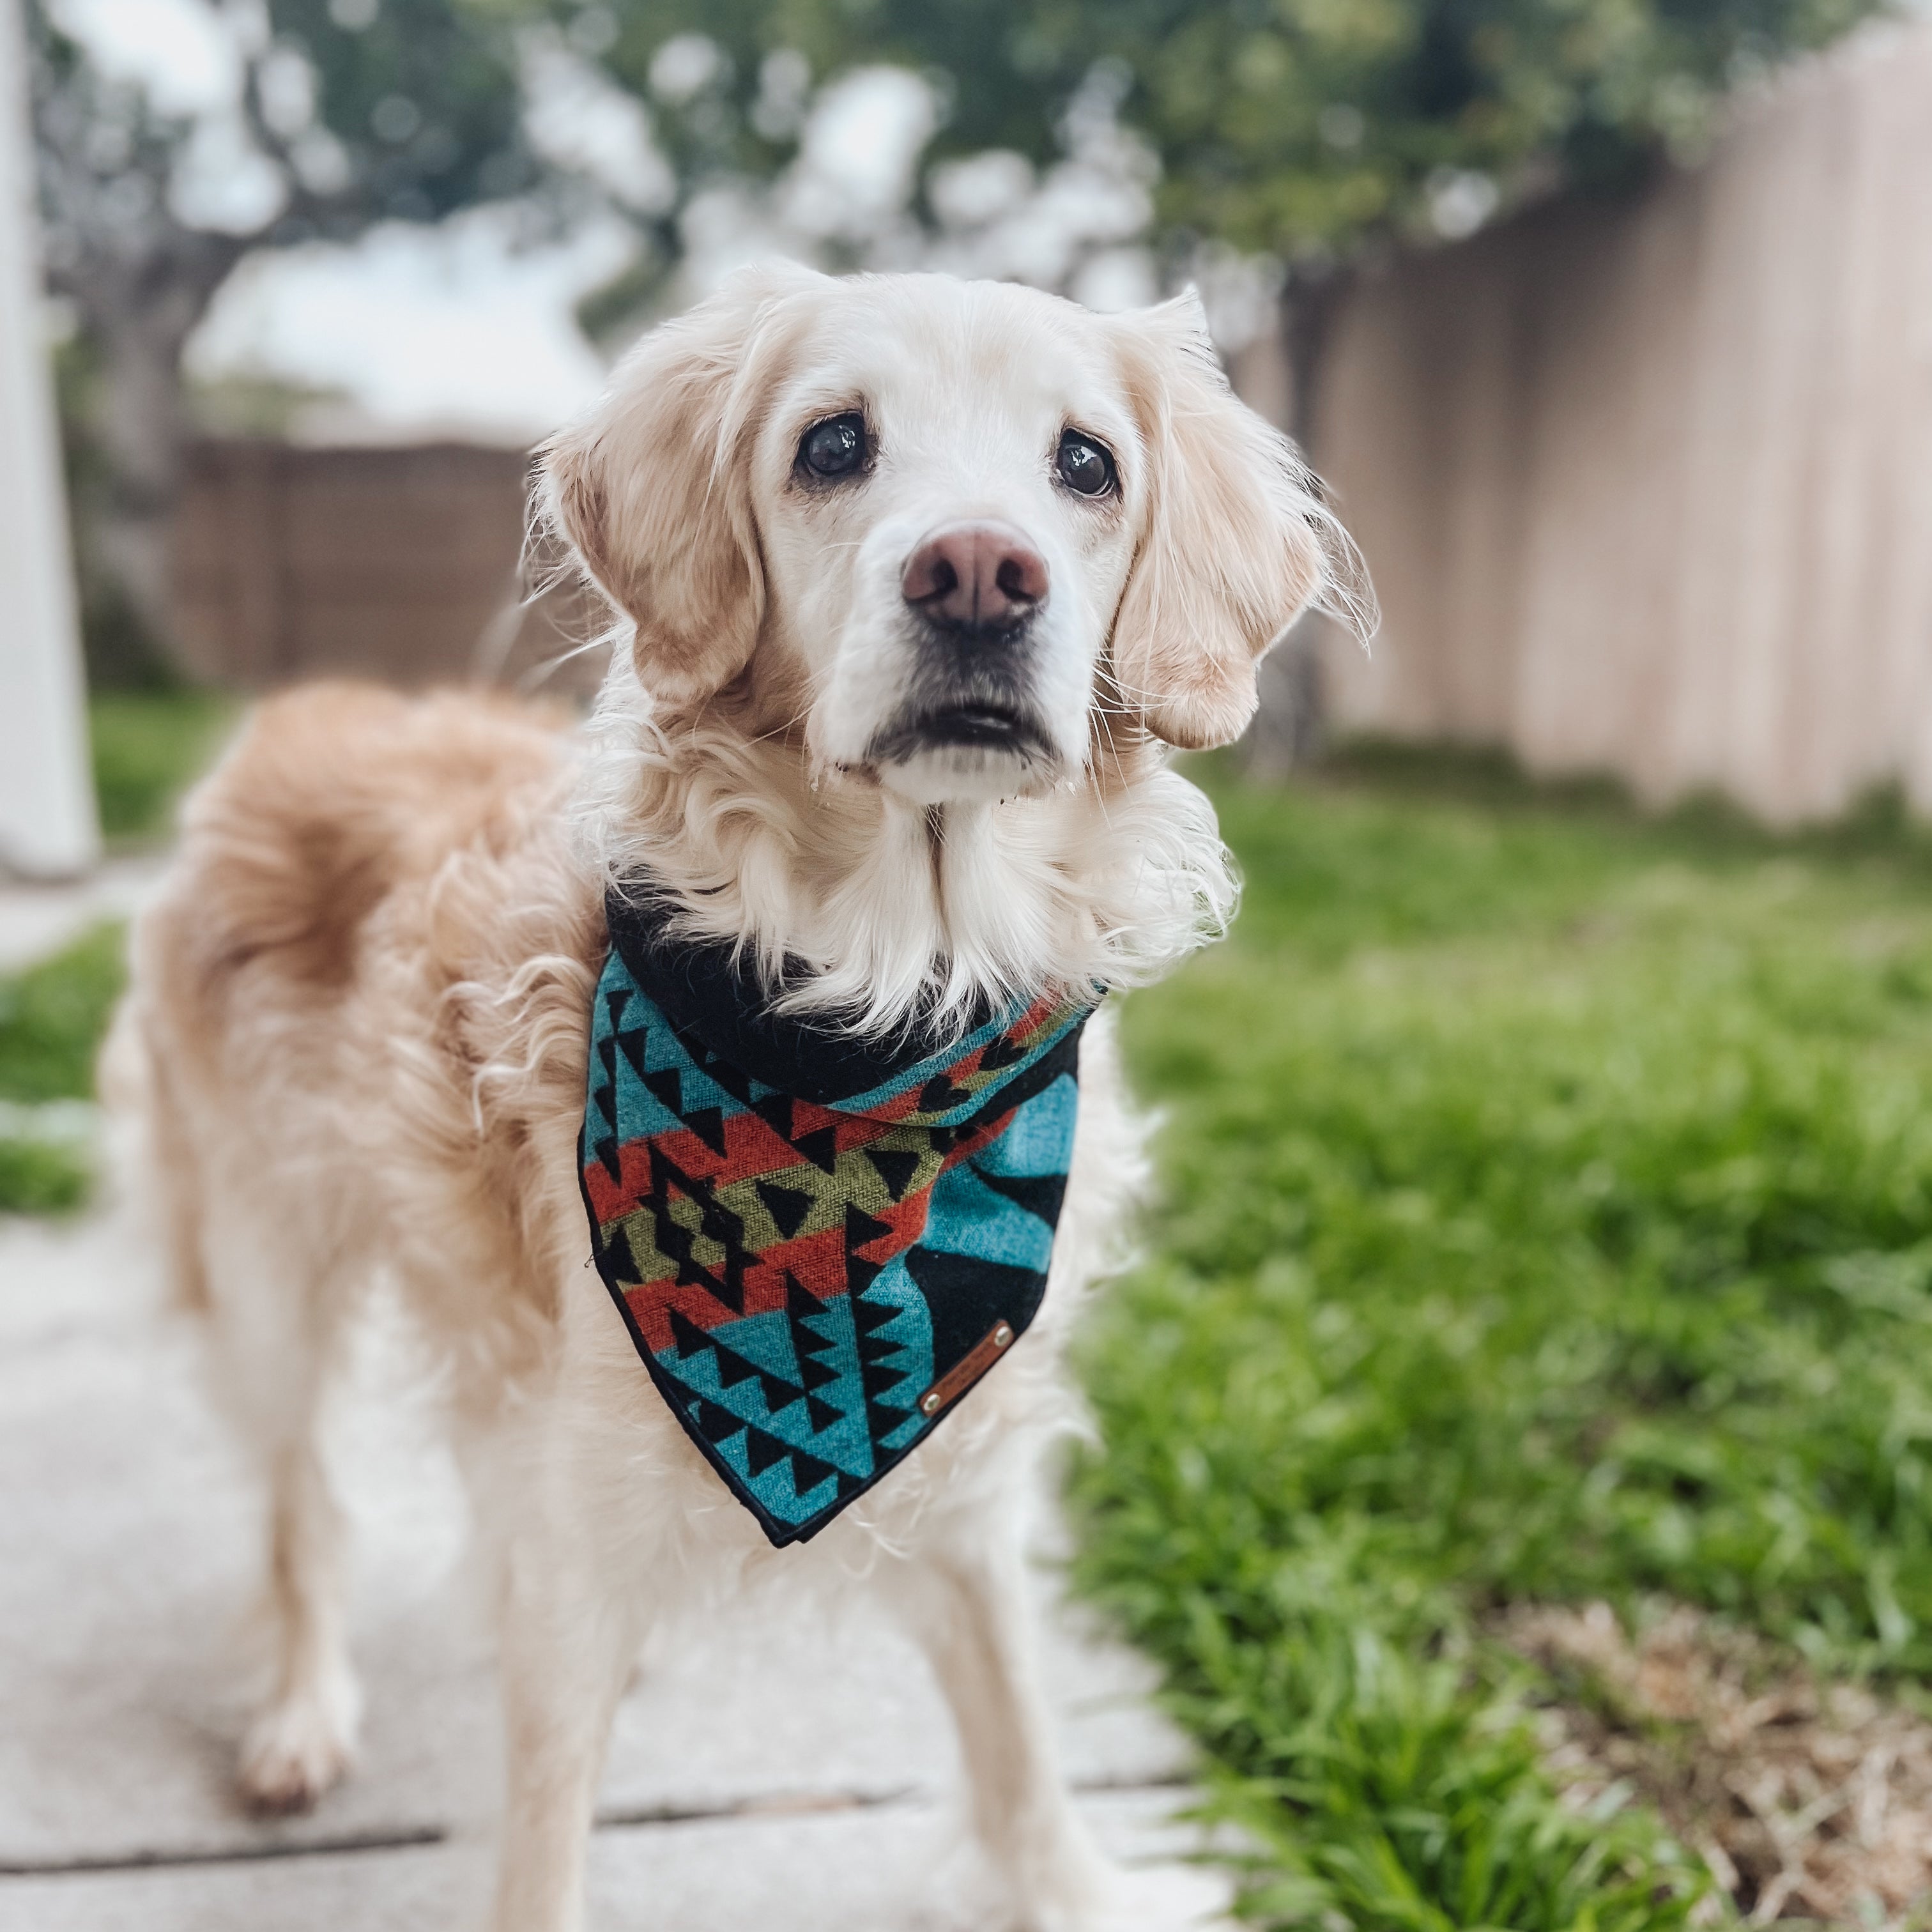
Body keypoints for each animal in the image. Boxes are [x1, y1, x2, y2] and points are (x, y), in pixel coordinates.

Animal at [112, 261, 1367, 1932]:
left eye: (1087, 463)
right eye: (834, 443)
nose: (981, 574)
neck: (879, 1018)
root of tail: (304, 711)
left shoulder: (968, 1462)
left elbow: (1020, 1741)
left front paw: (1073, 1890)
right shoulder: (568, 1521)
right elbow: (543, 1836)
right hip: (265, 1261)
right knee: (300, 1508)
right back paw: (302, 1717)